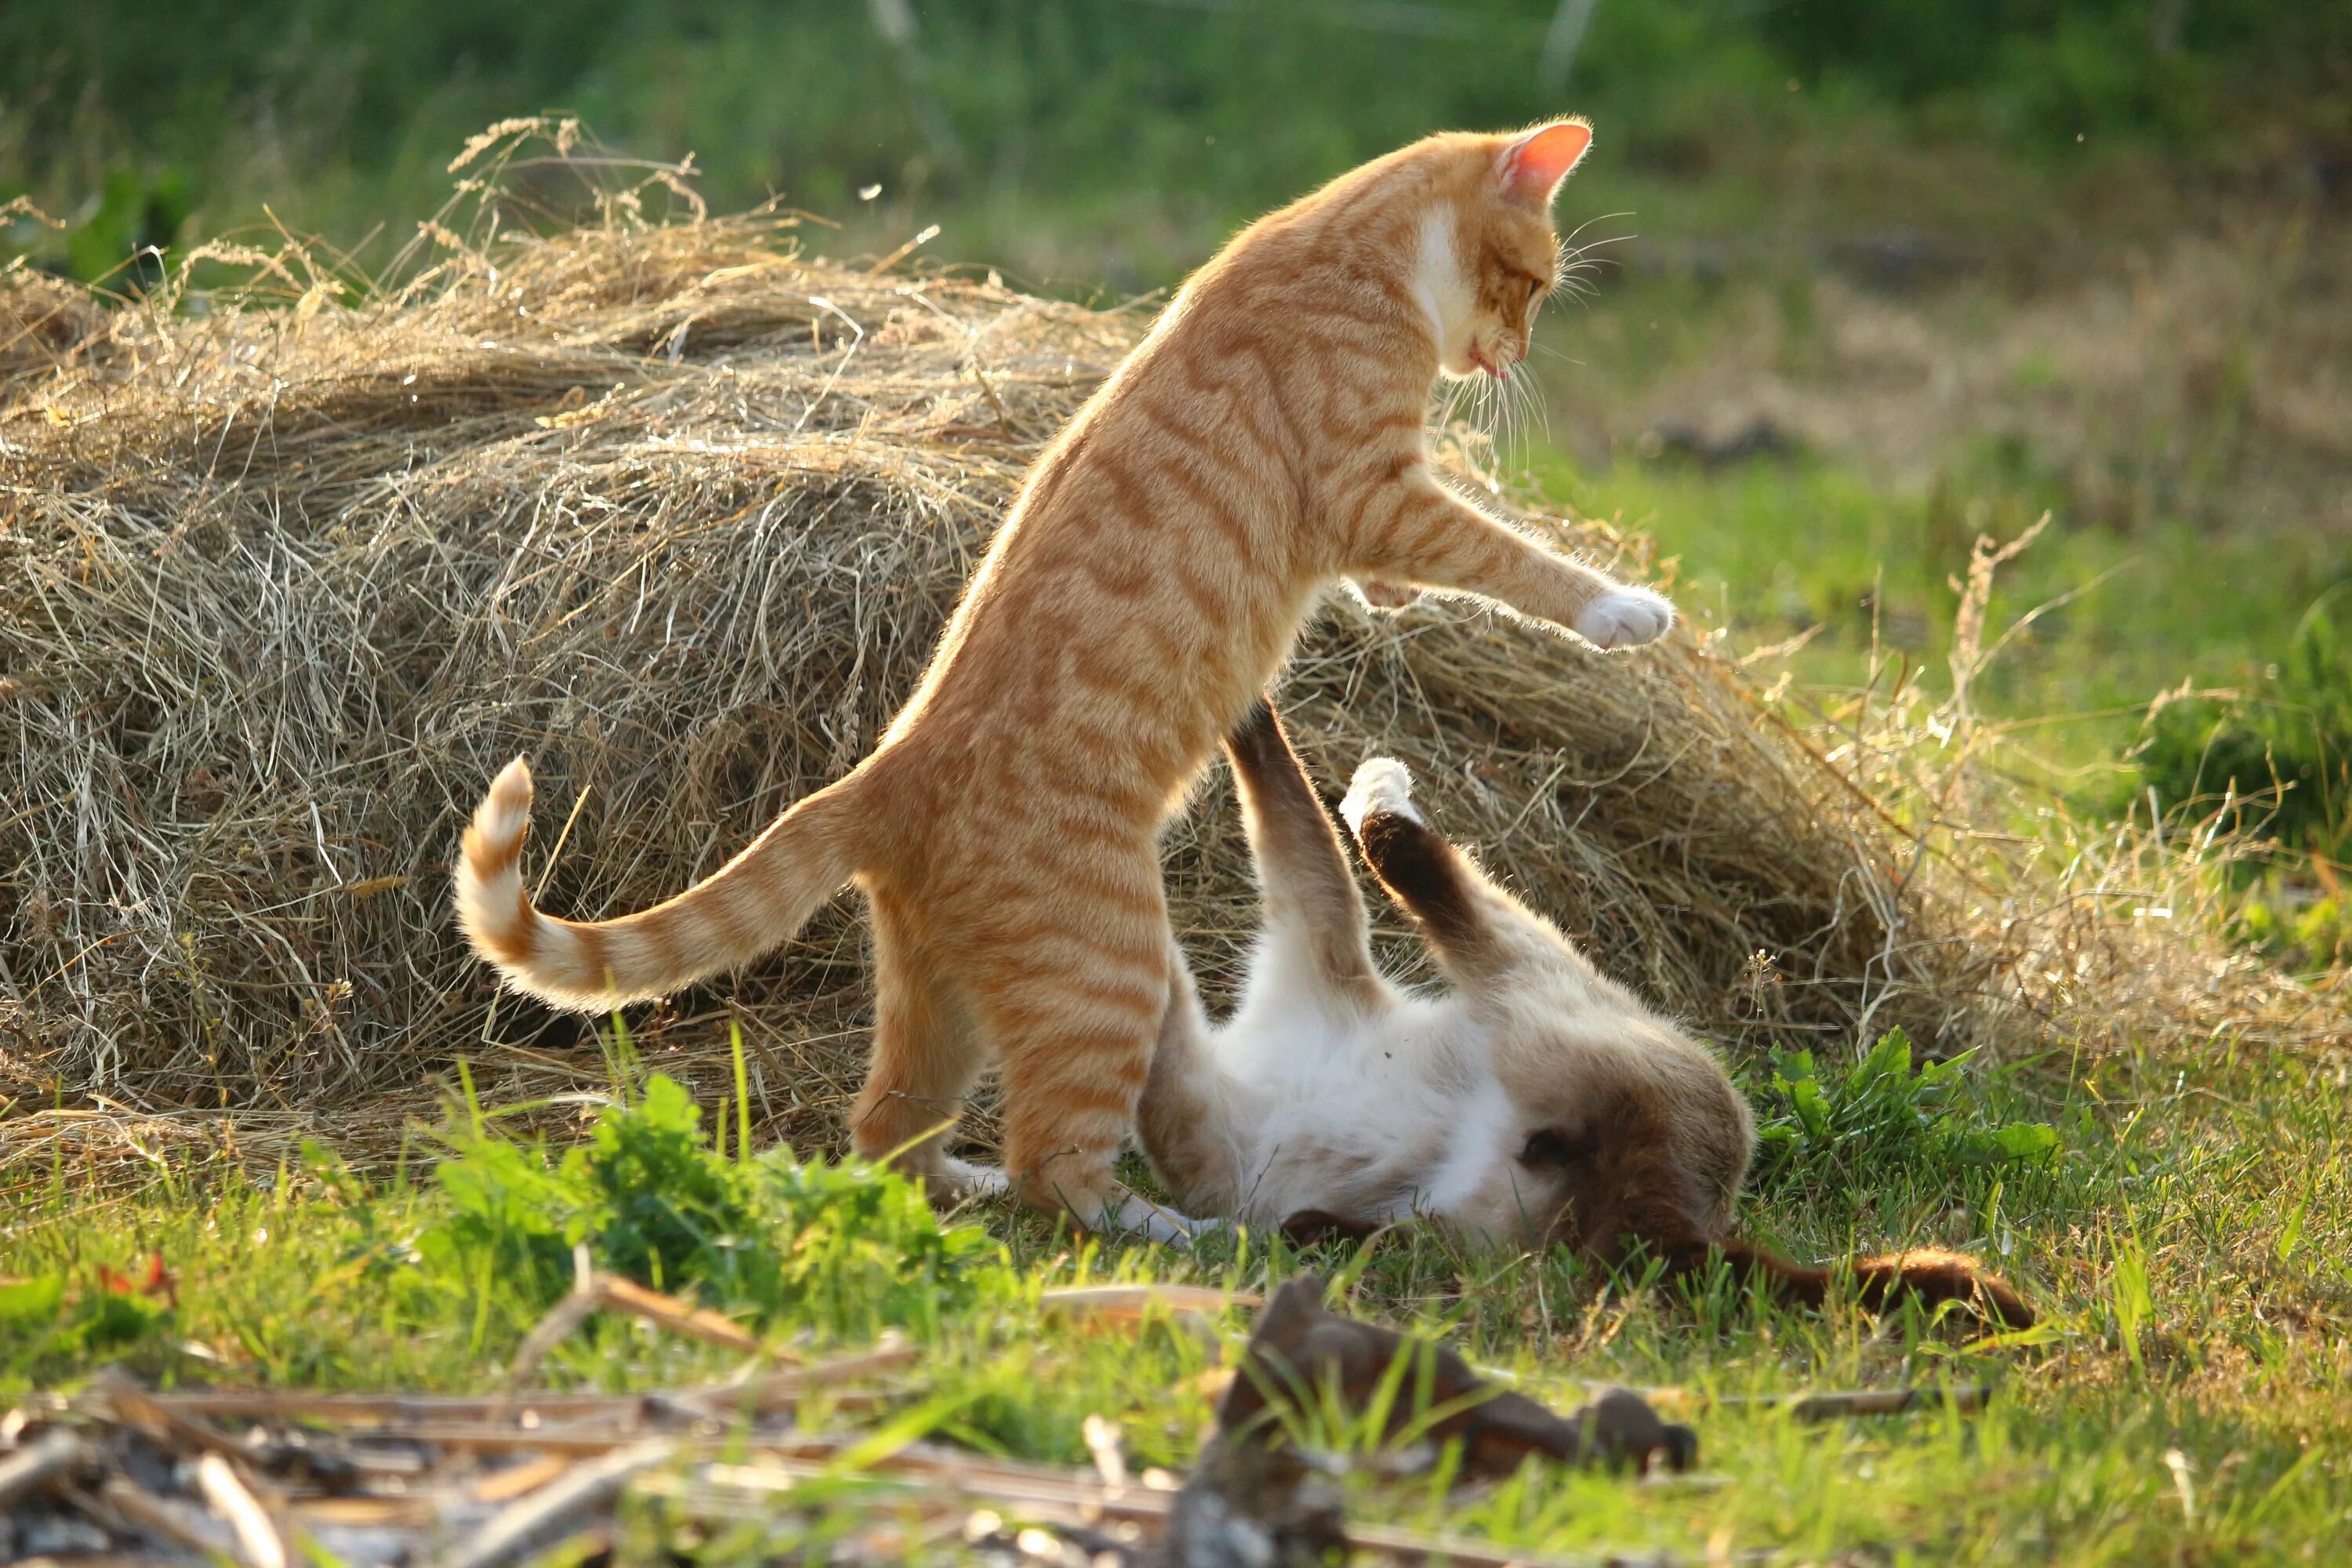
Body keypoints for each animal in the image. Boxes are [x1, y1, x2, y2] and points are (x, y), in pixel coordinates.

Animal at [459, 119, 1675, 1241]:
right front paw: (1619, 611)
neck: (1355, 249)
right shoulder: (1379, 492)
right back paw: (1177, 1235)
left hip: (938, 1004)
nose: (1512, 355)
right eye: (1535, 283)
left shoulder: (1376, 521)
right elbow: (1510, 558)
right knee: (1055, 1164)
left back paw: (965, 1187)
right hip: (1108, 972)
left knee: (888, 1132)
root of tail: (887, 774)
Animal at [1148, 705, 2032, 1335]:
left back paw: (1379, 784)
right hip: (1461, 1227)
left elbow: (1289, 806)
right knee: (1350, 1232)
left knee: (1409, 856)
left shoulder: (1315, 942)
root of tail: (1678, 1224)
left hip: (1527, 987)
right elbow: (1278, 807)